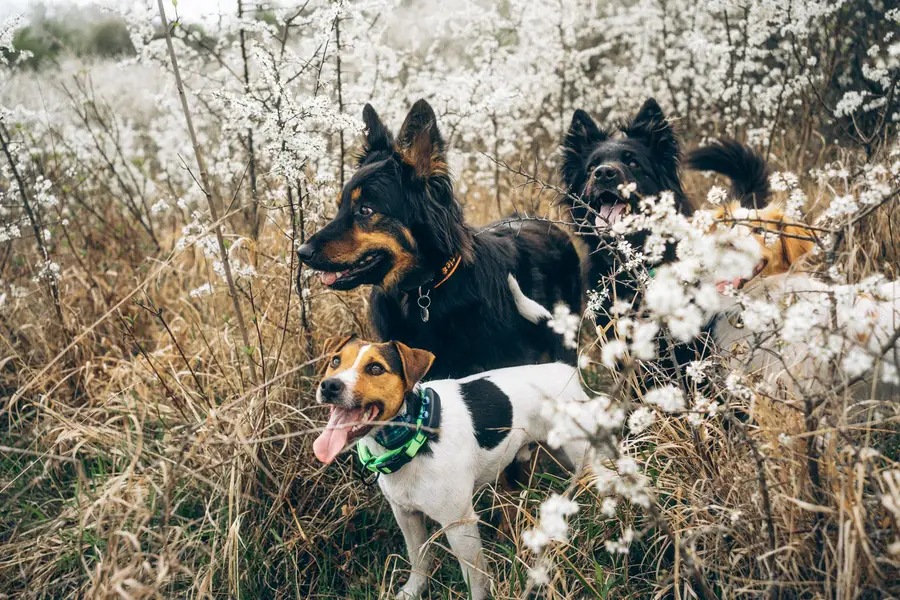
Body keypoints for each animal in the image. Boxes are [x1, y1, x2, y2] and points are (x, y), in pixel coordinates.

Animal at [312, 336, 592, 596]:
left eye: (375, 368)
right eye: (335, 361)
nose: (330, 385)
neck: (415, 432)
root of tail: (564, 368)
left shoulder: (459, 524)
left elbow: (475, 580)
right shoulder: (406, 515)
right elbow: (418, 559)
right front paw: (414, 590)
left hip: (580, 458)